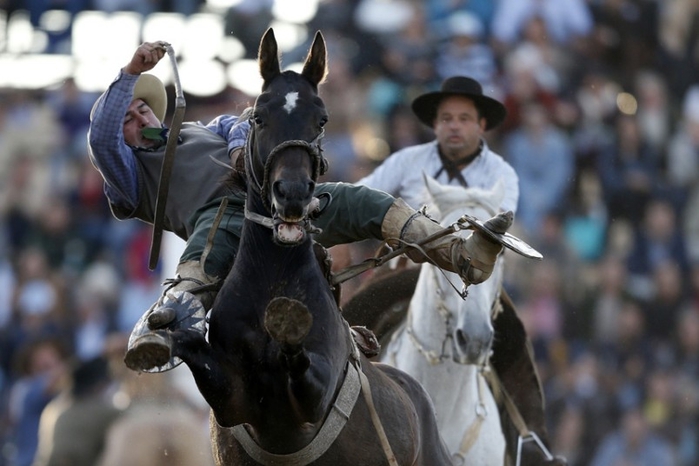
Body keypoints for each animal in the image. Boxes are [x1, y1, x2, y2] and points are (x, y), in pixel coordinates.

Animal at [172, 30, 452, 466]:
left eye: (322, 118)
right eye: (258, 116)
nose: (292, 193)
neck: (273, 277)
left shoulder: (315, 398)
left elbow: (300, 363)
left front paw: (288, 325)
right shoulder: (233, 400)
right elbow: (203, 362)